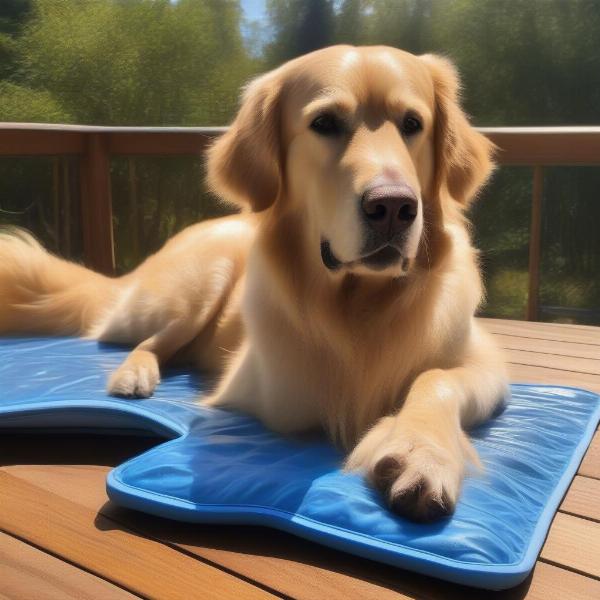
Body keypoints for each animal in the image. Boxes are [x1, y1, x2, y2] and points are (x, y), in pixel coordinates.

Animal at [0, 45, 506, 520]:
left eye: (412, 123)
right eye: (324, 123)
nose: (394, 207)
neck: (362, 302)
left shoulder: (485, 367)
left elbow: (435, 378)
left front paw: (420, 454)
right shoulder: (281, 394)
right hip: (200, 283)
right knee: (145, 341)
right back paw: (134, 375)